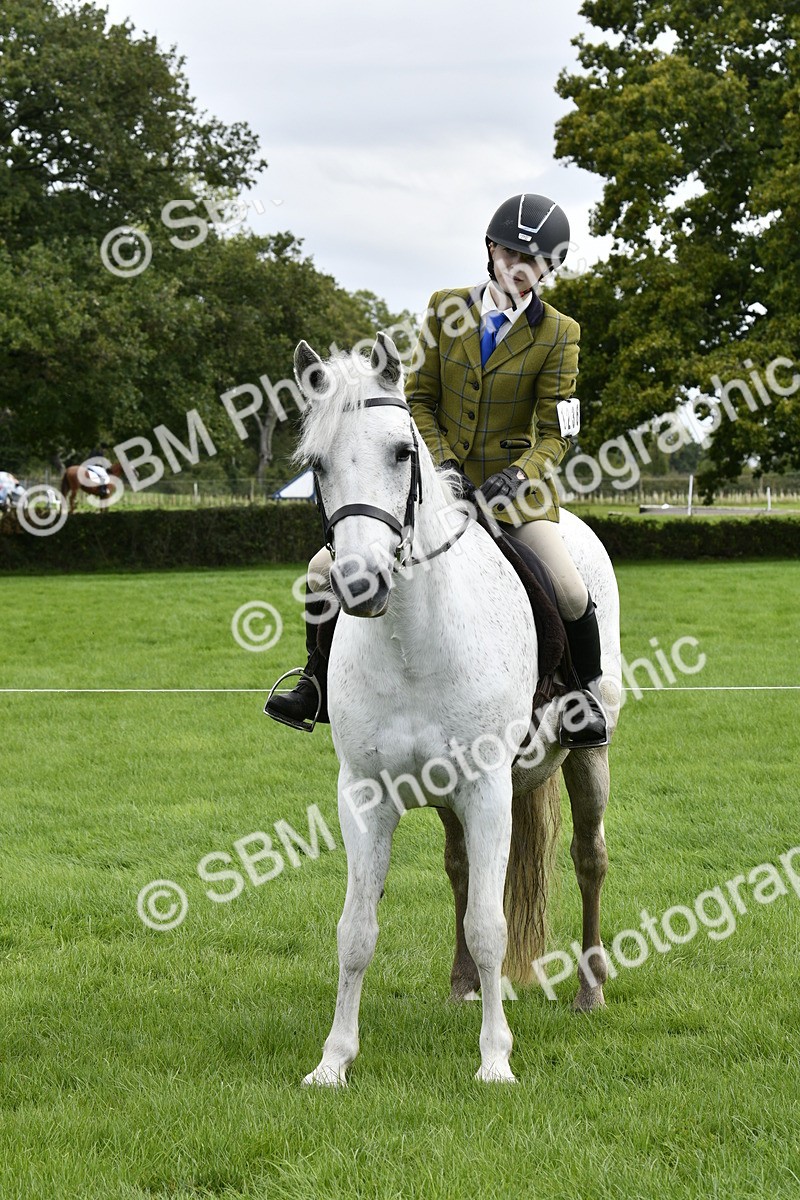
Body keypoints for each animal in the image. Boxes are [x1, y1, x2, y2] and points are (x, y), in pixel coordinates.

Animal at [292, 333, 622, 1085]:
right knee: (462, 871)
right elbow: (356, 929)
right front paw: (333, 1061)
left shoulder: (488, 788)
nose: (360, 584)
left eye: (400, 452)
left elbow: (490, 923)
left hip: (587, 758)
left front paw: (495, 1060)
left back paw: (588, 990)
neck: (413, 638)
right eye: (316, 464)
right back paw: (463, 985)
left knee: (589, 859)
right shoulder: (365, 792)